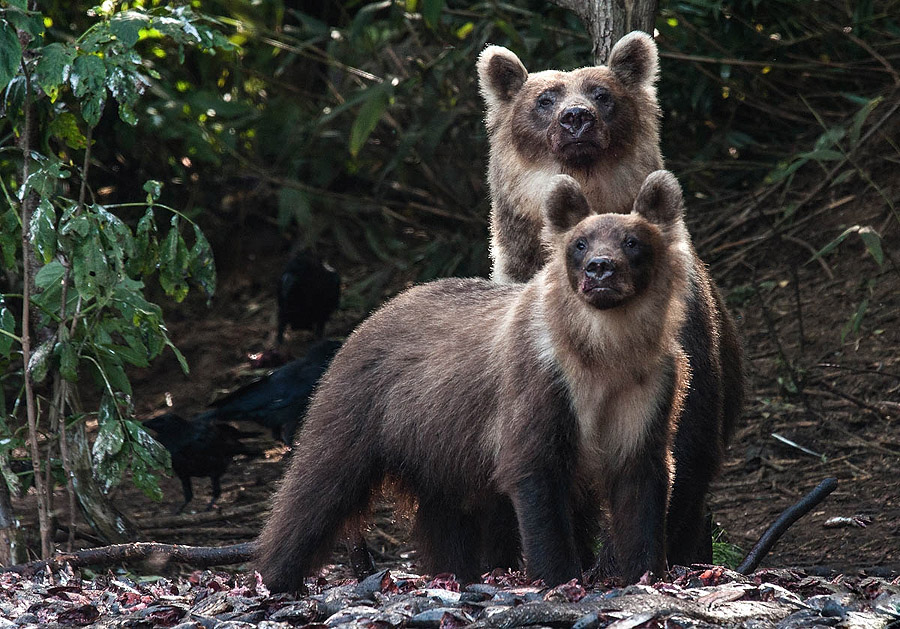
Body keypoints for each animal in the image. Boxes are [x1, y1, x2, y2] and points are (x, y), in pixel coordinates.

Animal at [256, 169, 692, 592]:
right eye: (580, 243)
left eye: (632, 241)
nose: (600, 268)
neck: (602, 352)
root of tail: (375, 313)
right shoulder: (544, 382)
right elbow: (535, 473)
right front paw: (558, 574)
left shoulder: (646, 388)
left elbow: (642, 479)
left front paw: (646, 571)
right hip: (366, 405)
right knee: (320, 483)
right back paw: (275, 576)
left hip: (438, 443)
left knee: (446, 514)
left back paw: (455, 573)